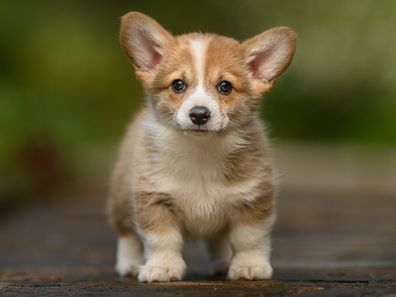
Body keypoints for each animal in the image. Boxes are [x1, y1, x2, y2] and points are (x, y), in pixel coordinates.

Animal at [106, 11, 296, 280]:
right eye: (178, 84)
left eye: (225, 86)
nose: (199, 114)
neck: (201, 150)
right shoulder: (154, 199)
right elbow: (162, 239)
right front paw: (162, 268)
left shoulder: (254, 199)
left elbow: (249, 239)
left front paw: (249, 266)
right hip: (121, 198)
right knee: (126, 233)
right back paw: (130, 264)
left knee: (217, 240)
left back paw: (222, 262)